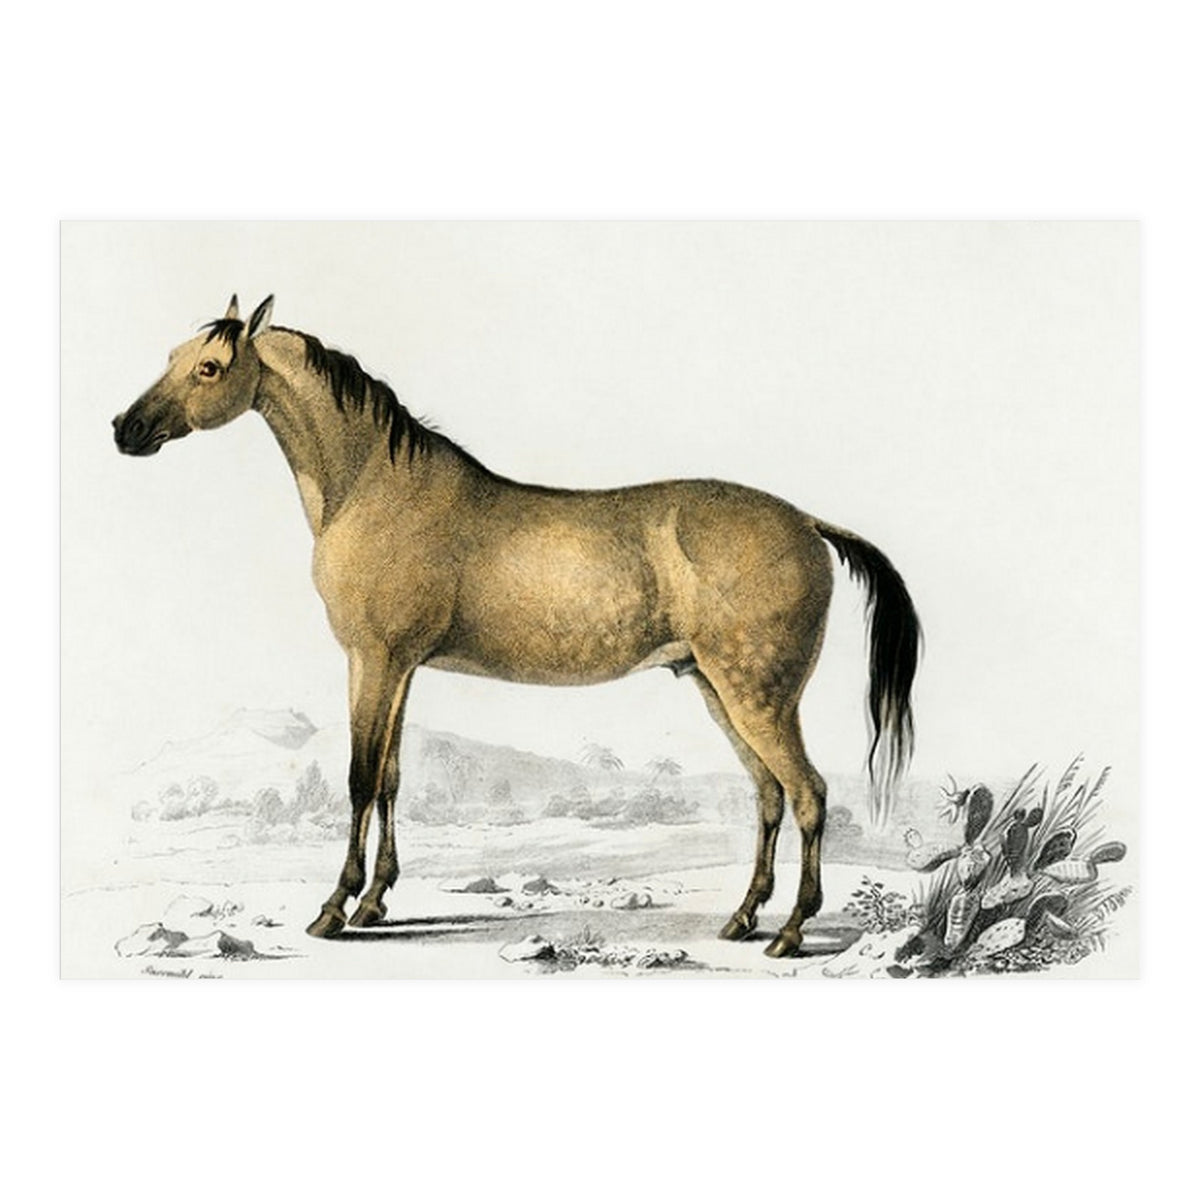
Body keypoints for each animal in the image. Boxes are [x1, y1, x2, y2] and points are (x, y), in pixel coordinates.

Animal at [113, 294, 920, 958]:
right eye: (173, 356)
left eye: (211, 366)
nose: (126, 429)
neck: (374, 486)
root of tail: (806, 522)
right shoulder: (398, 668)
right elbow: (393, 779)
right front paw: (376, 902)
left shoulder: (372, 660)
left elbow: (359, 779)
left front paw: (334, 909)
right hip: (719, 689)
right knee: (769, 795)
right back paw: (743, 919)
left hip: (758, 695)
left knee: (809, 793)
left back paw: (790, 931)